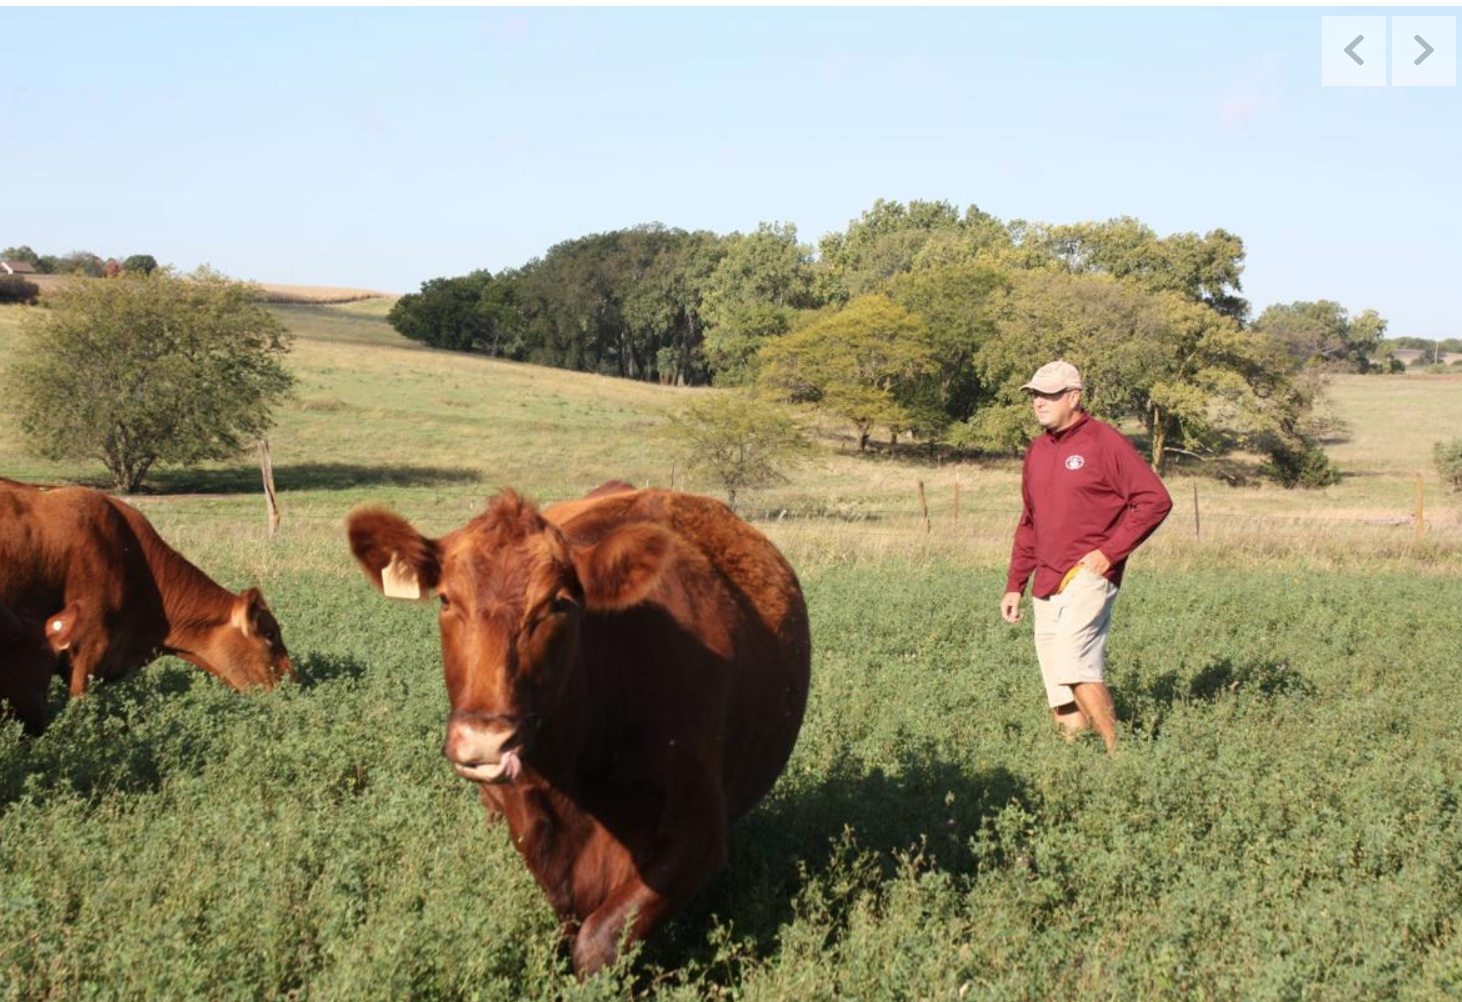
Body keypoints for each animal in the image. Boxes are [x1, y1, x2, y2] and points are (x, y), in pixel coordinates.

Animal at [349, 488, 818, 971]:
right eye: (445, 599)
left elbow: (599, 939)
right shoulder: (537, 830)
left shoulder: (698, 834)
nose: (483, 740)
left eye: (557, 604)